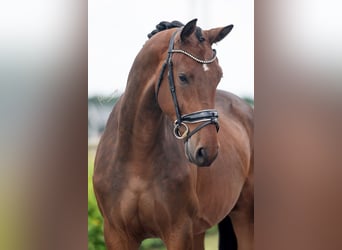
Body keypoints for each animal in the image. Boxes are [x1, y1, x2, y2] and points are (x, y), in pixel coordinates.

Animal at [93, 18, 254, 249]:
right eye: (182, 77)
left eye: (218, 76)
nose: (207, 151)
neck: (136, 158)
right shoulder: (116, 234)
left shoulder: (178, 232)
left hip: (245, 215)